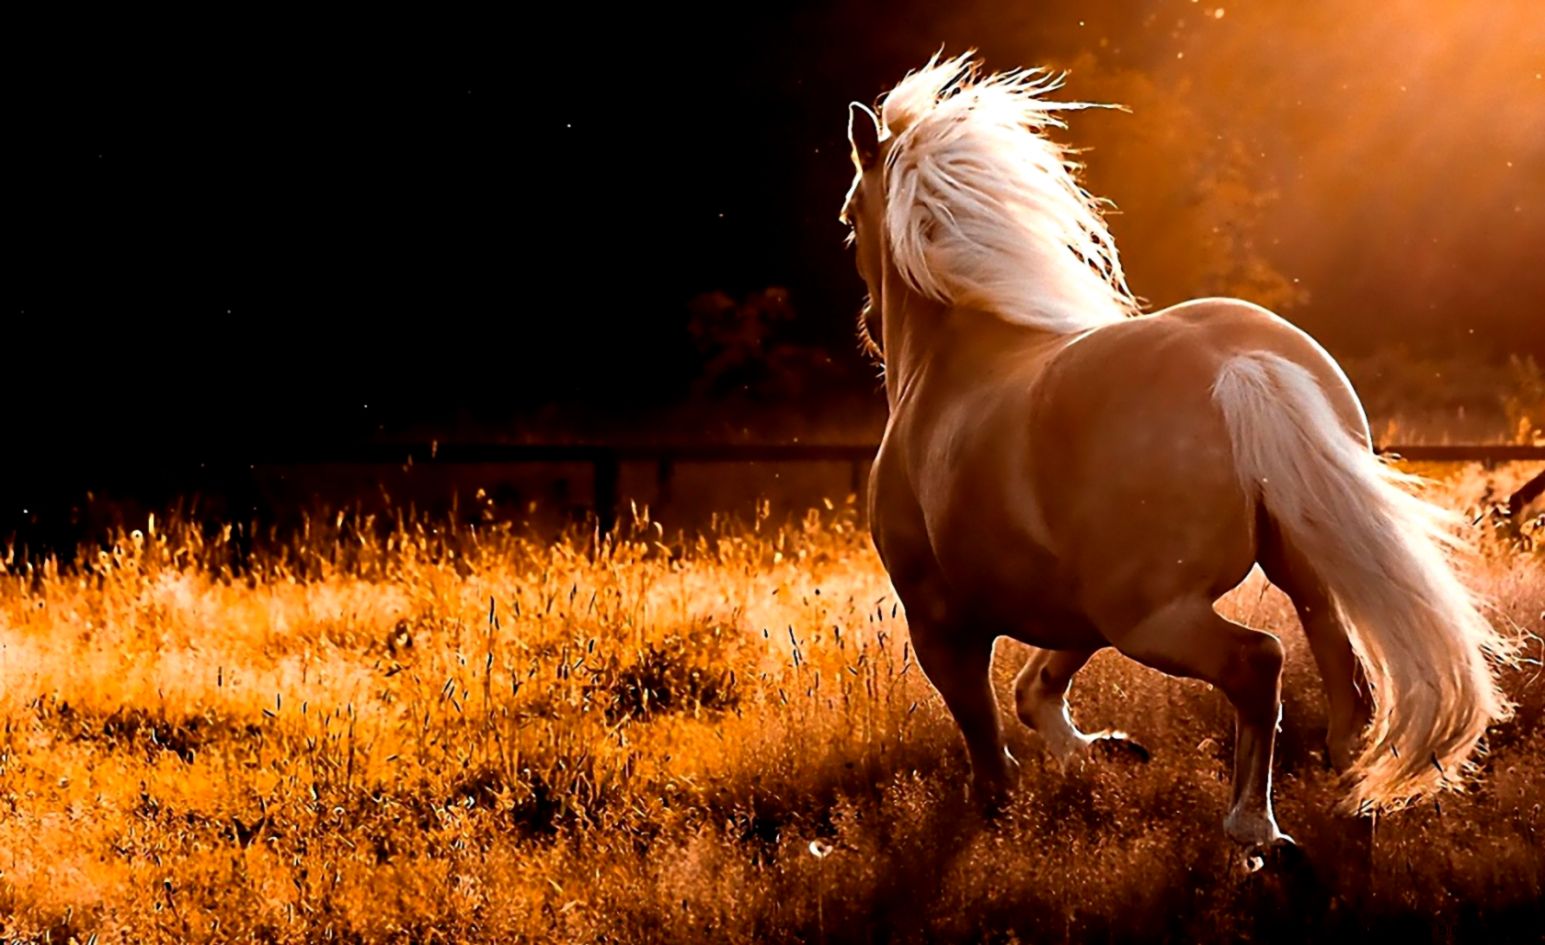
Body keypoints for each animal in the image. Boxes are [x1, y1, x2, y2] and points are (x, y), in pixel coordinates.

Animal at [840, 53, 1512, 849]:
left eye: (848, 218)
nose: (868, 327)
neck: (949, 363)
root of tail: (1240, 364)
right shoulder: (1077, 608)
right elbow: (1035, 689)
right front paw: (1103, 753)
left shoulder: (942, 622)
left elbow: (986, 740)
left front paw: (1000, 812)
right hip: (1291, 576)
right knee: (1345, 683)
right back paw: (1351, 803)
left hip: (1153, 619)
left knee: (1259, 661)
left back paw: (1256, 829)